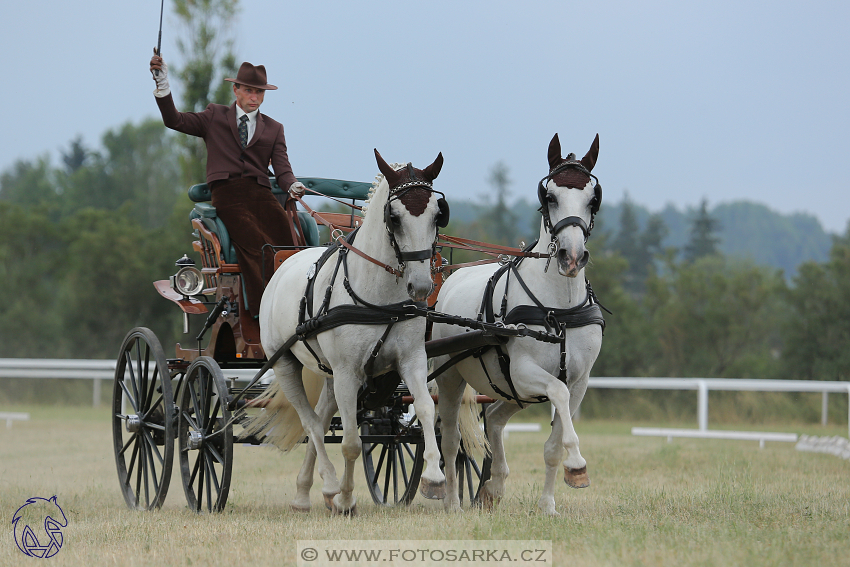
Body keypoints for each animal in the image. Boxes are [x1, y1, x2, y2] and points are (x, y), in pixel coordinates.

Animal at [250, 150, 448, 516]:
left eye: (436, 216)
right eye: (394, 217)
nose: (420, 287)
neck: (380, 297)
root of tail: (285, 263)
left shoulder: (411, 360)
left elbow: (426, 408)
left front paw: (434, 477)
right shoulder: (347, 372)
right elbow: (352, 443)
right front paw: (345, 499)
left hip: (330, 375)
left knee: (322, 416)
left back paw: (304, 493)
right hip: (286, 364)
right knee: (312, 424)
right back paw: (329, 486)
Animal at [434, 135, 608, 516]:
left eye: (593, 198)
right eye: (550, 196)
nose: (572, 258)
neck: (559, 308)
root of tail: (450, 279)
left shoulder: (579, 380)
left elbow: (553, 445)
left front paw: (548, 504)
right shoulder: (527, 370)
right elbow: (557, 396)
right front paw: (578, 464)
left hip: (511, 389)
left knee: (495, 417)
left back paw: (494, 485)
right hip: (451, 377)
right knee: (451, 441)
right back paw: (452, 502)